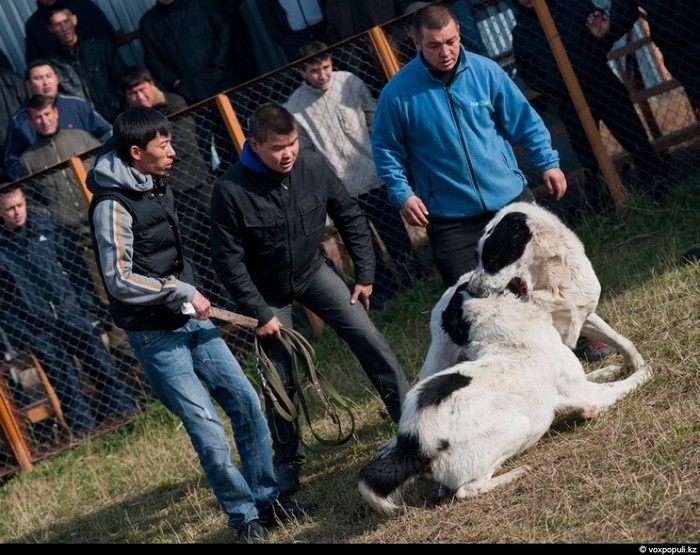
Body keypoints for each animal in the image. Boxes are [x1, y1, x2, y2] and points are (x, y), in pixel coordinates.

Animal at [358, 292, 652, 516]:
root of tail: (414, 442)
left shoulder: (578, 382)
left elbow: (600, 374)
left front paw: (615, 367)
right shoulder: (589, 395)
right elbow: (623, 385)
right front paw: (644, 372)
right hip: (516, 424)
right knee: (467, 490)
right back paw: (515, 473)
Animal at [418, 202, 648, 384]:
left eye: (491, 259)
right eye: (477, 259)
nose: (472, 290)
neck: (554, 286)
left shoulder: (582, 314)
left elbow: (620, 339)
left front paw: (636, 363)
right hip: (439, 360)